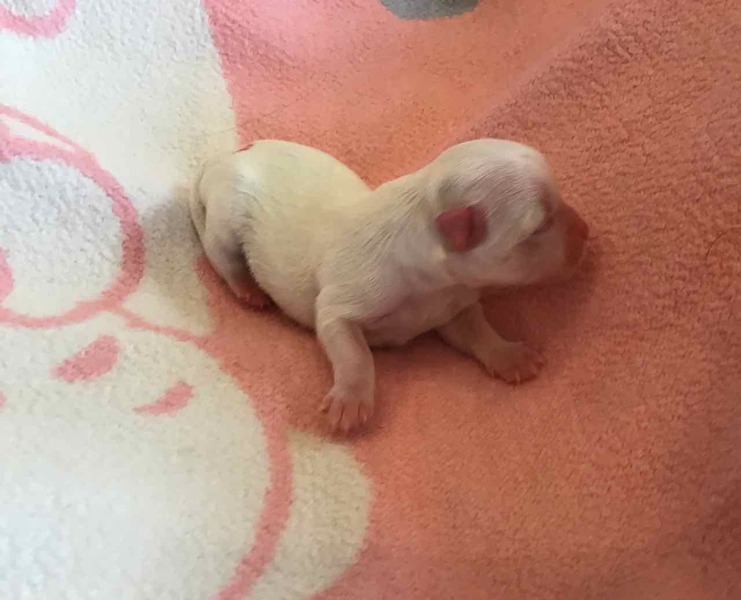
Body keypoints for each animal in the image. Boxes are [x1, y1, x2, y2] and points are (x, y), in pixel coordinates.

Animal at [190, 139, 589, 433]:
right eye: (540, 225)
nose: (587, 234)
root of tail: (228, 156)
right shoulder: (345, 300)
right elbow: (351, 348)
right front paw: (351, 400)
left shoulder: (452, 305)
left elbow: (476, 329)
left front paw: (509, 355)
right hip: (225, 220)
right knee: (221, 256)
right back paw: (248, 289)